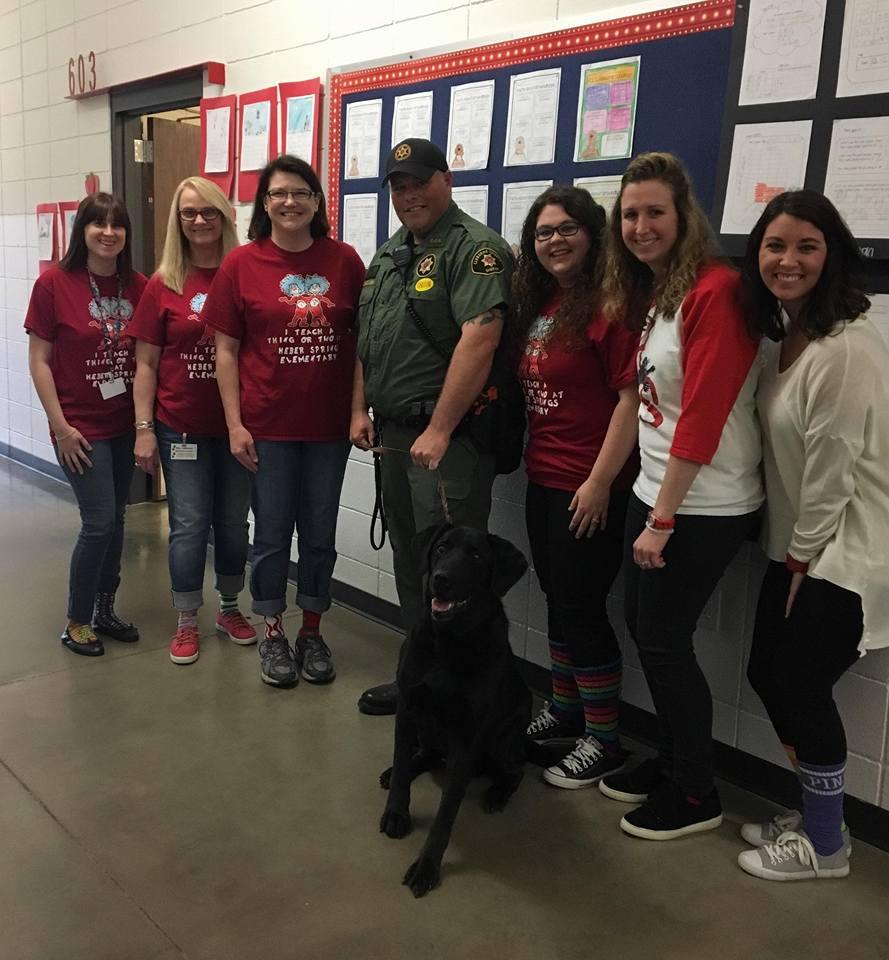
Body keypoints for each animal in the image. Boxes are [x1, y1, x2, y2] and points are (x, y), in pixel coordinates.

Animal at [380, 520, 532, 896]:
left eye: (476, 556)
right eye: (441, 549)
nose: (441, 578)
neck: (449, 641)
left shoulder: (465, 737)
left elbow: (446, 813)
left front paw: (427, 866)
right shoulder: (407, 706)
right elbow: (402, 765)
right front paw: (396, 813)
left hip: (504, 740)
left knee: (516, 770)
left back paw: (497, 793)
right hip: (425, 723)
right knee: (425, 754)